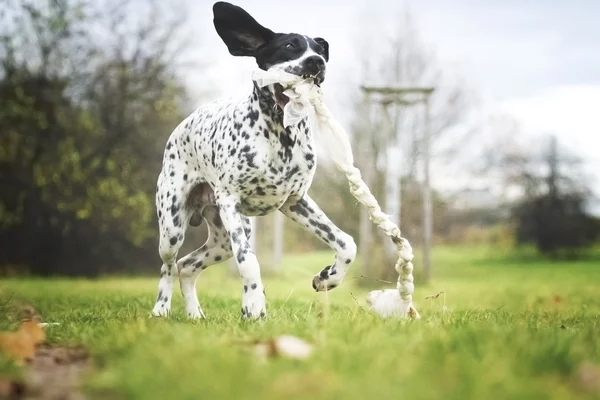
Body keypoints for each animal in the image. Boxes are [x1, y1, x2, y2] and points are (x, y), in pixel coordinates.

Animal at [151, 0, 356, 318]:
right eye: (288, 46)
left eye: (319, 50)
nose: (316, 63)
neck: (280, 139)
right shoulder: (230, 202)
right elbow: (248, 261)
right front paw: (253, 304)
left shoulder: (296, 202)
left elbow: (347, 243)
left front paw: (327, 278)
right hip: (173, 227)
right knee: (169, 266)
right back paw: (161, 309)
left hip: (223, 240)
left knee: (186, 266)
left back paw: (195, 314)